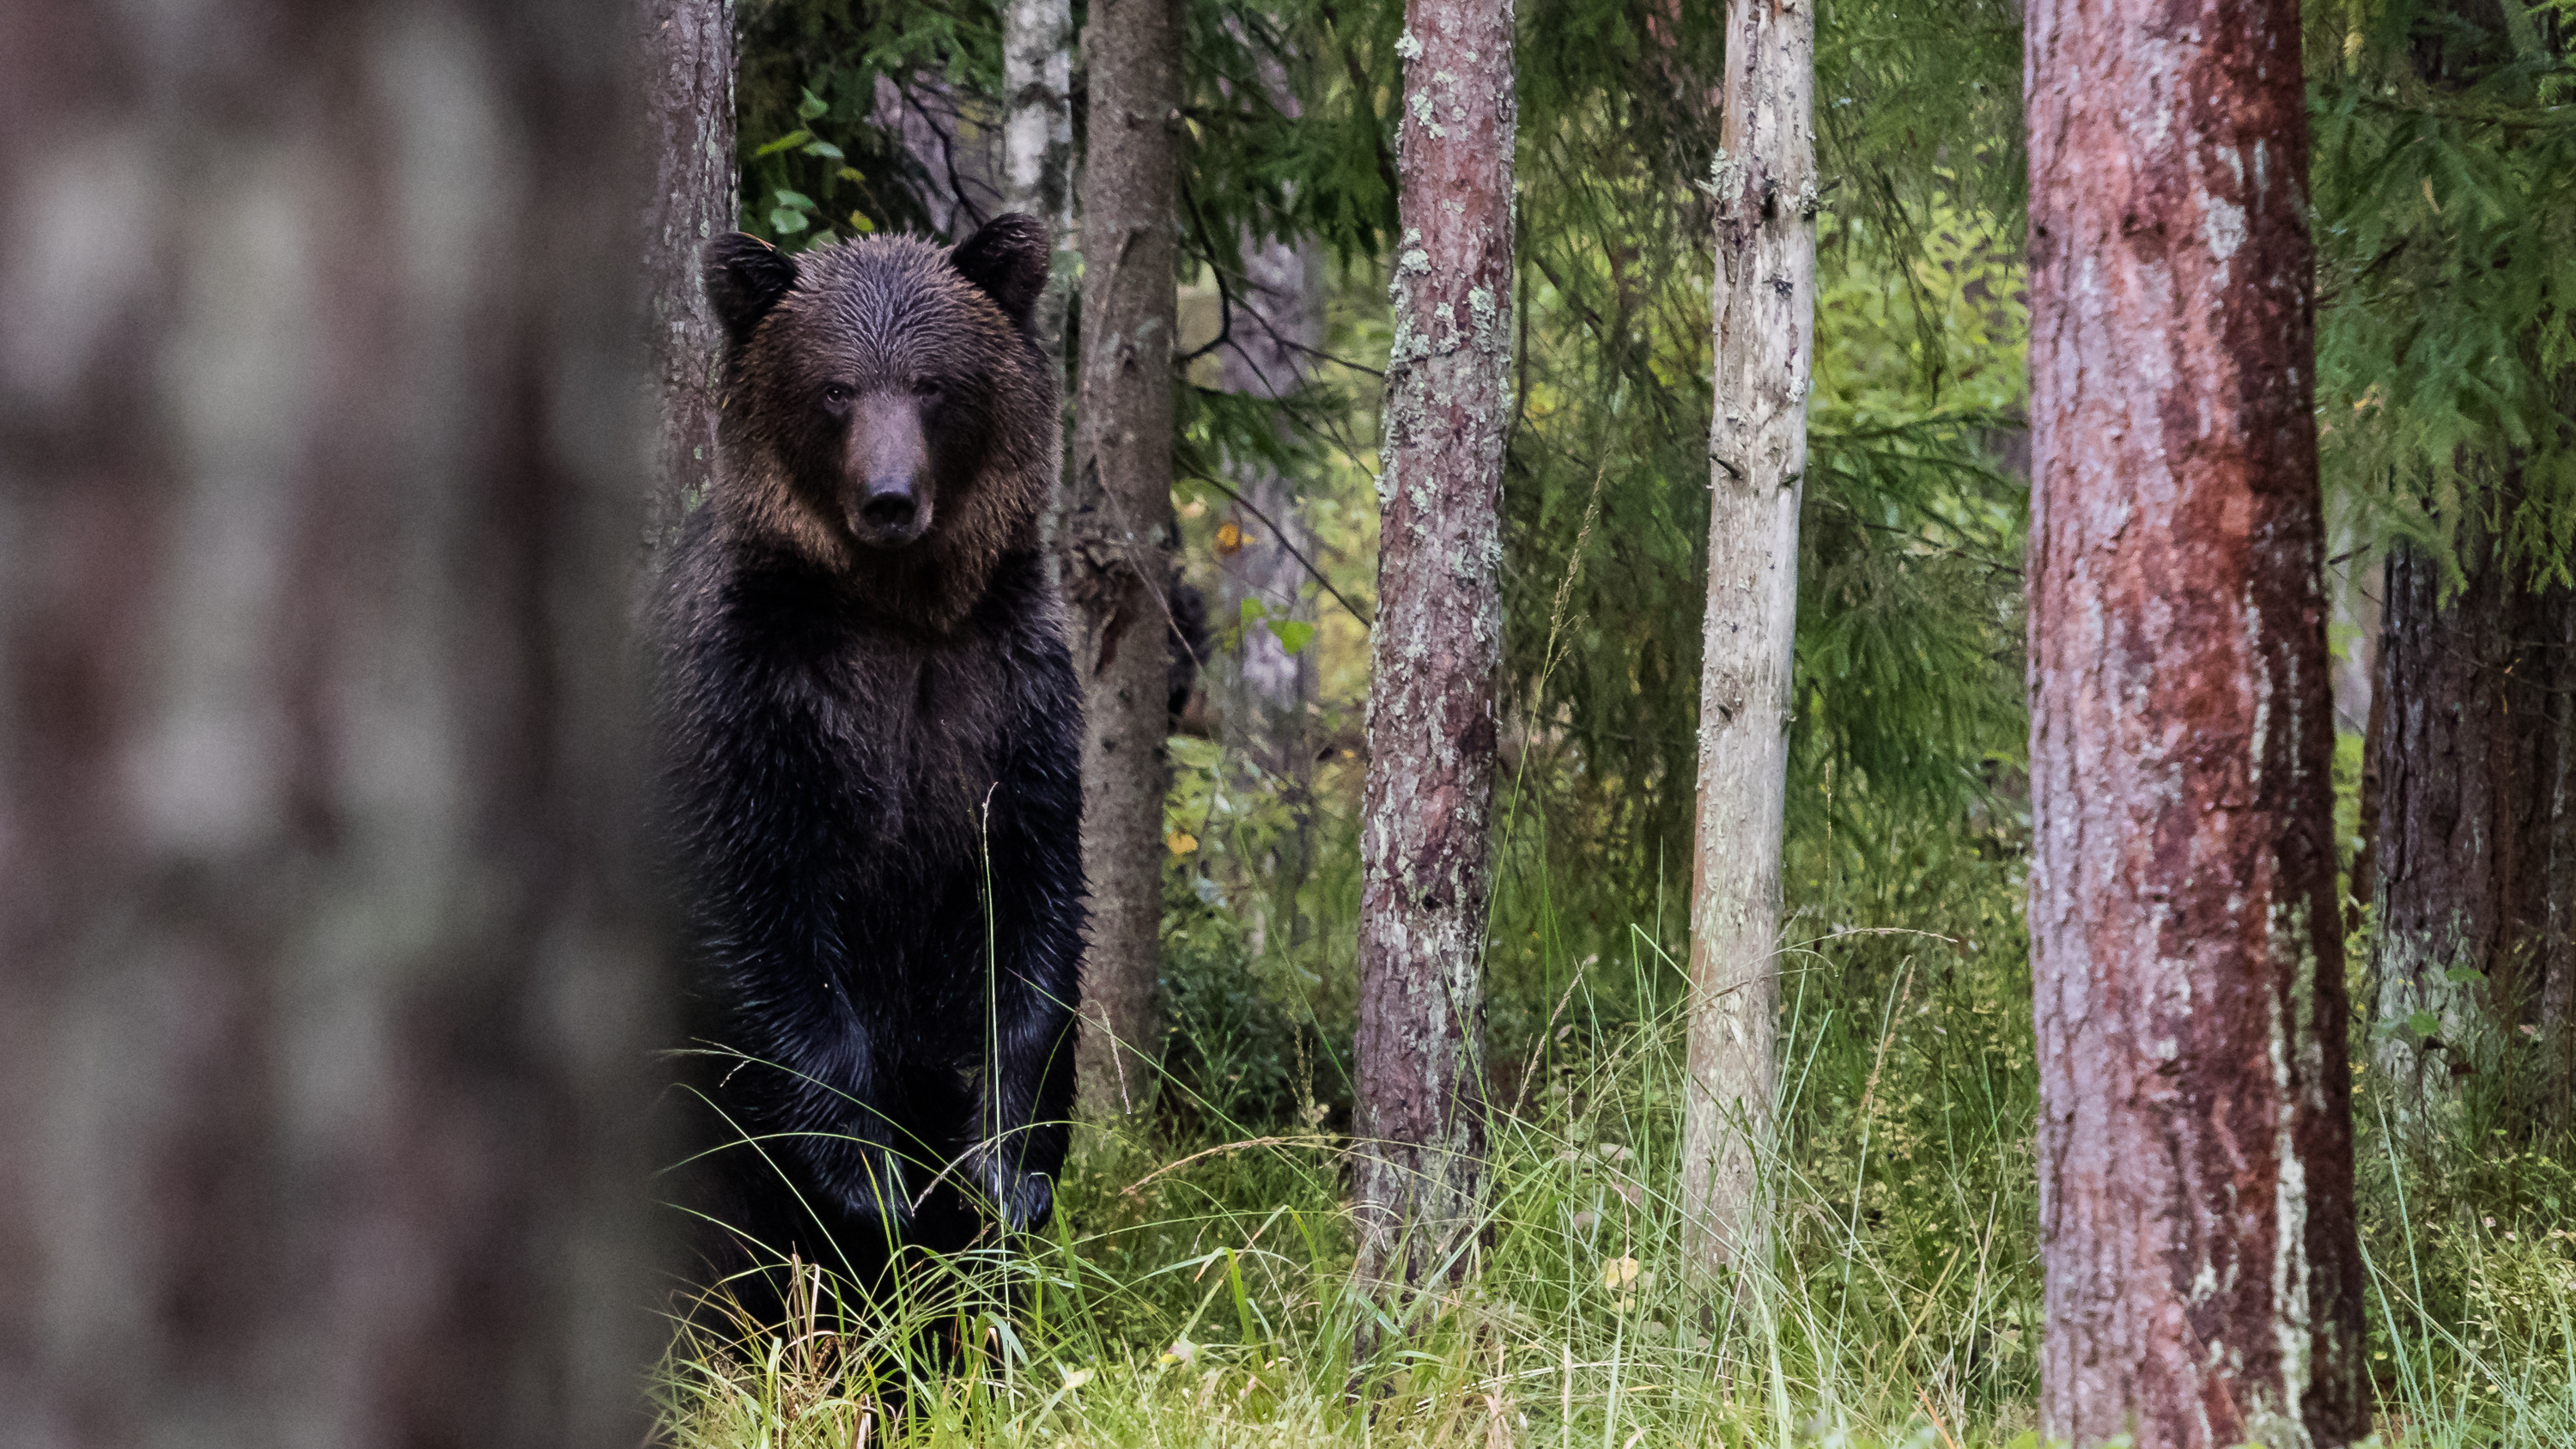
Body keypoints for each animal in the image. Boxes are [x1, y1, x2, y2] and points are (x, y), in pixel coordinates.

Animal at [659, 211, 1082, 1319]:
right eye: (835, 387)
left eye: (933, 383)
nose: (890, 498)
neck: (899, 614)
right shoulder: (755, 707)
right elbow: (764, 935)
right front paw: (871, 1184)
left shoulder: (1009, 700)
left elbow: (1032, 920)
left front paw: (1005, 1172)